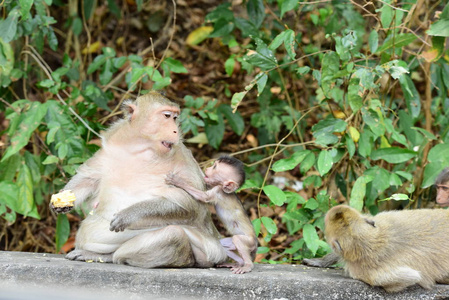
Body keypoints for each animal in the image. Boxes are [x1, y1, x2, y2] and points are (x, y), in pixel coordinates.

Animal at [53, 91, 228, 268]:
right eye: (167, 116)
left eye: (175, 117)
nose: (175, 131)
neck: (142, 148)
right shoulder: (110, 146)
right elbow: (89, 177)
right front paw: (62, 200)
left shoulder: (183, 157)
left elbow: (193, 205)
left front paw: (130, 214)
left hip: (207, 252)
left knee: (173, 235)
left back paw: (108, 256)